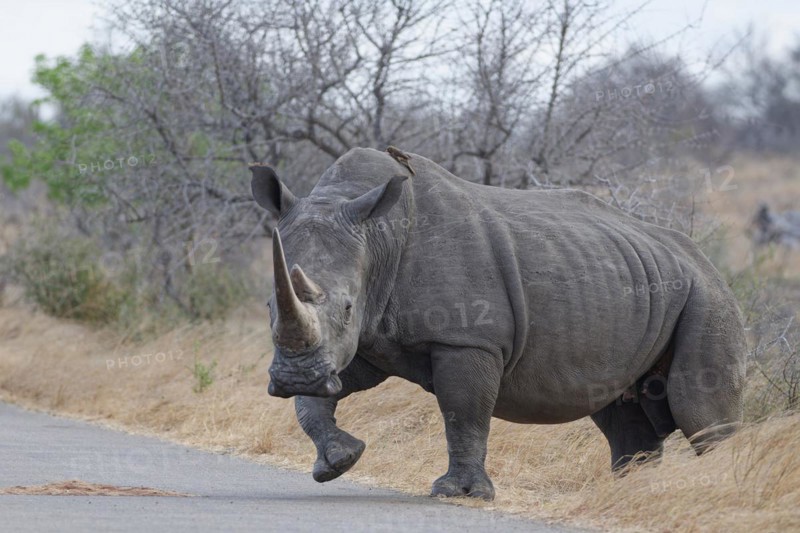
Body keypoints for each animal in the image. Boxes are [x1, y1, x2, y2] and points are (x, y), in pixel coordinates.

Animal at [249, 148, 746, 500]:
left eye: (349, 307)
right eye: (269, 306)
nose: (295, 376)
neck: (377, 235)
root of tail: (707, 261)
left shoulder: (467, 340)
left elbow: (463, 412)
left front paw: (460, 494)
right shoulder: (362, 343)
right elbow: (315, 400)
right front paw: (338, 462)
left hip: (709, 298)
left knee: (699, 411)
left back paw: (718, 490)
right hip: (636, 281)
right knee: (622, 415)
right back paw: (630, 494)